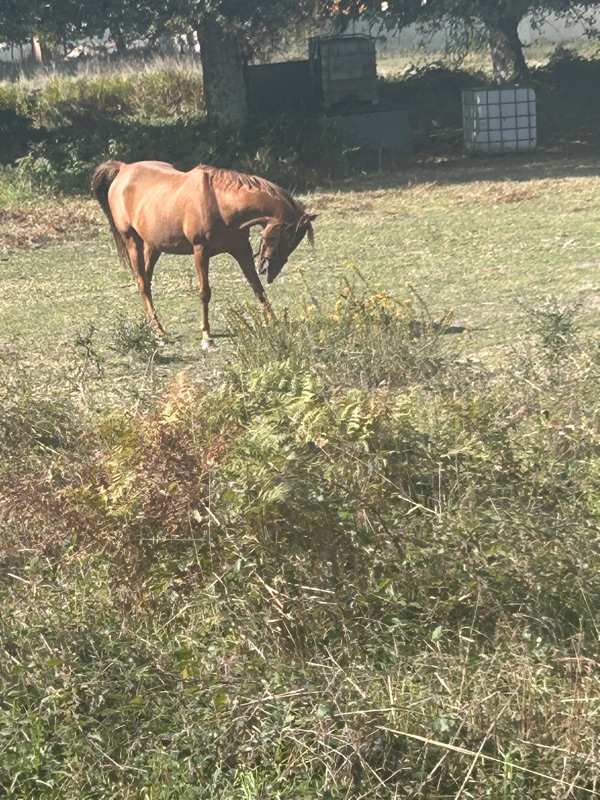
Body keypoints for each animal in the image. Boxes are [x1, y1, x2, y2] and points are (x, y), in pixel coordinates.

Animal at [91, 160, 316, 348]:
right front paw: (207, 336)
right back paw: (160, 332)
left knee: (144, 282)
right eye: (284, 237)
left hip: (154, 246)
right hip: (132, 242)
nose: (269, 269)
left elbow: (257, 287)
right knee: (143, 284)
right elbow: (204, 293)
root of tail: (123, 168)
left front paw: (275, 322)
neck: (220, 202)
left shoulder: (241, 249)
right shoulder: (200, 251)